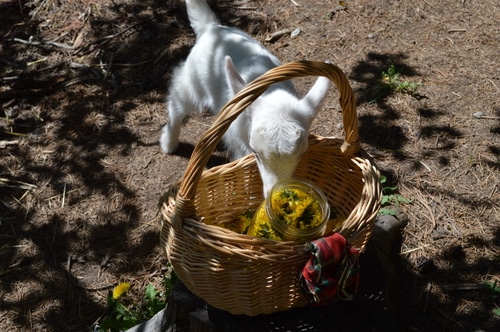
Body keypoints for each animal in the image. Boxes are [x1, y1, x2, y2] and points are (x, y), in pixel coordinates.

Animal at [161, 0, 332, 197]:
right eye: (255, 152)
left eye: (302, 153)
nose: (273, 194)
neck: (272, 91)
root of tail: (212, 28)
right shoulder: (240, 145)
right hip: (191, 82)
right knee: (178, 106)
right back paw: (169, 143)